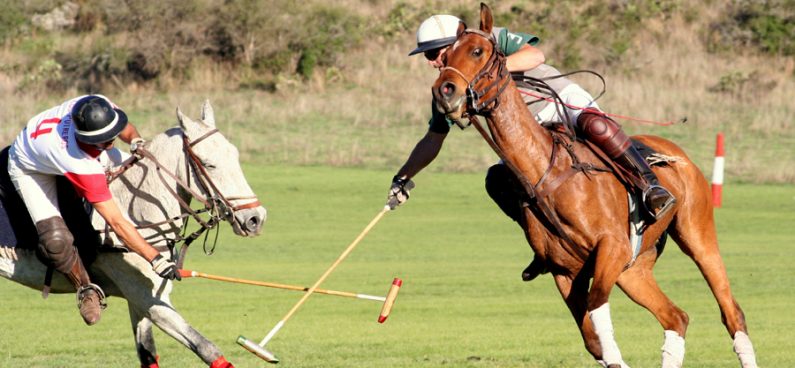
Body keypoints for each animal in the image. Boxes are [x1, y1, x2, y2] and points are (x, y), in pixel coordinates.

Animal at [0, 99, 268, 366]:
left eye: (235, 154)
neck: (138, 209)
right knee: (57, 243)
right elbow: (207, 347)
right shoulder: (147, 299)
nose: (256, 219)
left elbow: (147, 353)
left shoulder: (141, 301)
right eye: (208, 164)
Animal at [432, 3, 760, 368]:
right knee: (677, 317)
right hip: (633, 269)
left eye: (477, 51)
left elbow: (598, 313)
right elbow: (594, 341)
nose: (444, 91)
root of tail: (674, 148)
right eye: (445, 56)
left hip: (697, 235)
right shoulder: (565, 271)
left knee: (731, 312)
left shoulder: (611, 248)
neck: (547, 173)